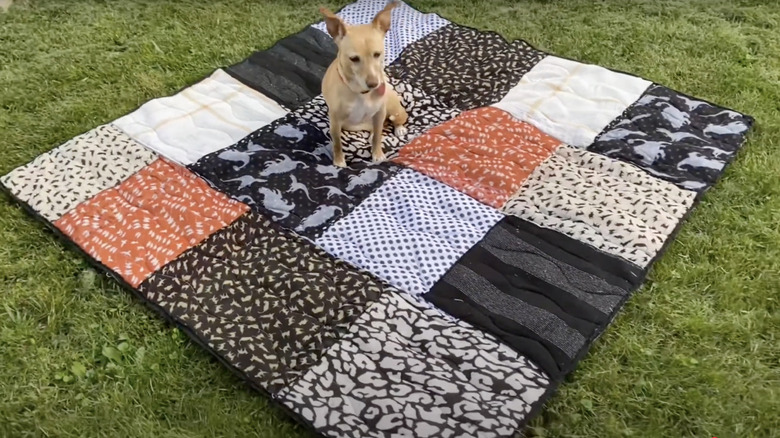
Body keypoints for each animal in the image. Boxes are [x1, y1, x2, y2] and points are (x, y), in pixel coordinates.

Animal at [320, 0, 412, 168]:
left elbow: (377, 138)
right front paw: (339, 162)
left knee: (392, 122)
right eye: (354, 59)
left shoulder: (380, 113)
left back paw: (398, 128)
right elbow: (337, 143)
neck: (361, 93)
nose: (374, 84)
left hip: (393, 109)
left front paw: (377, 154)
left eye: (377, 54)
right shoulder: (335, 121)